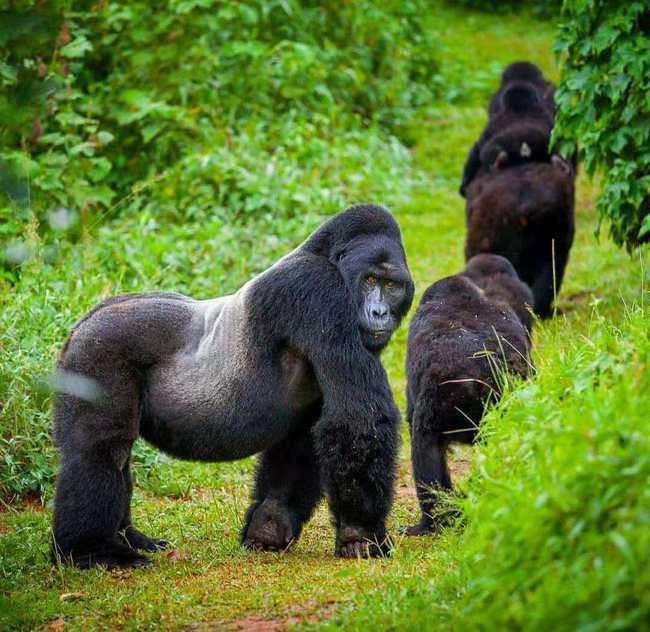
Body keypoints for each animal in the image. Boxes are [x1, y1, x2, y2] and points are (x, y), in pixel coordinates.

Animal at [53, 205, 412, 572]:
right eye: (370, 280)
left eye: (393, 285)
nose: (379, 312)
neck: (325, 255)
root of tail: (84, 322)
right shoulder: (318, 290)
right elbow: (358, 418)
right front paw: (361, 535)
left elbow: (304, 440)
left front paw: (269, 524)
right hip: (98, 351)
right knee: (100, 451)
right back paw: (91, 551)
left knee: (115, 456)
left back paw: (129, 537)